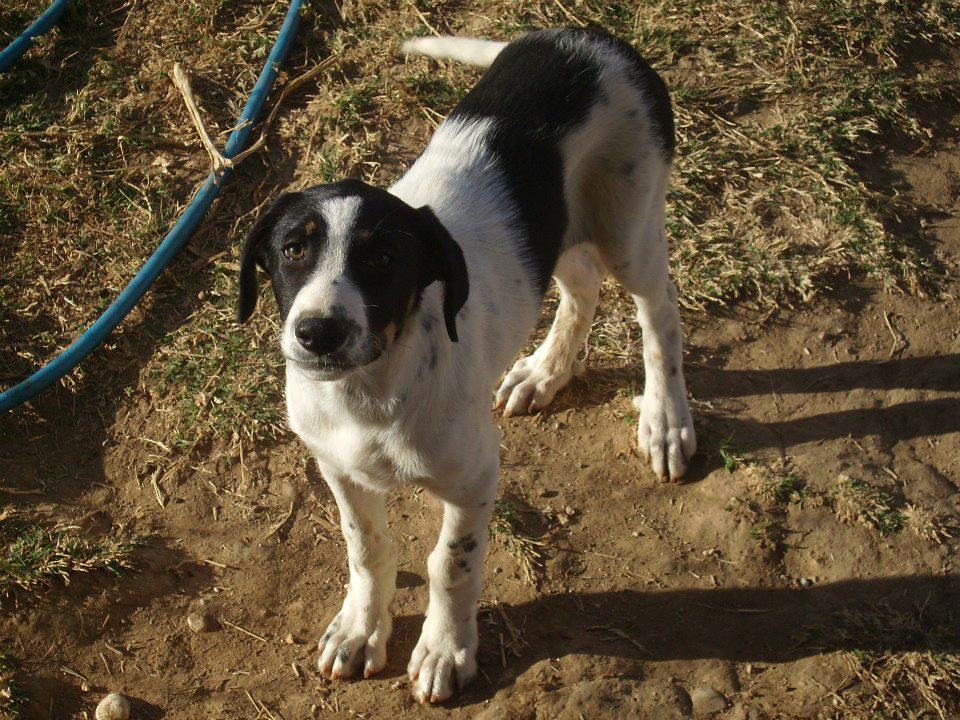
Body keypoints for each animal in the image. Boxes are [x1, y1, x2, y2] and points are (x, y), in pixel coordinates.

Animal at [237, 27, 696, 703]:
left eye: (383, 259)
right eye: (293, 249)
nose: (318, 332)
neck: (369, 392)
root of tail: (584, 35)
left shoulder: (476, 476)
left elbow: (451, 562)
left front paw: (445, 649)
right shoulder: (337, 466)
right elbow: (365, 546)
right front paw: (361, 627)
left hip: (628, 224)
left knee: (659, 312)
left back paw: (665, 421)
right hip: (559, 230)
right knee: (581, 285)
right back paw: (545, 371)